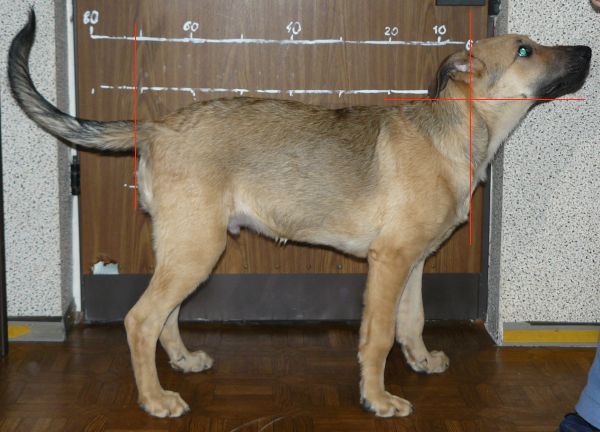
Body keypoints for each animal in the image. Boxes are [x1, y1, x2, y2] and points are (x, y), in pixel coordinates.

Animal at [8, 10, 591, 418]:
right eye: (525, 49)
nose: (587, 48)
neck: (456, 131)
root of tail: (156, 127)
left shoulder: (416, 262)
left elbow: (413, 321)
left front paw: (421, 362)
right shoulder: (389, 262)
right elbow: (378, 336)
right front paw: (377, 399)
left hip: (184, 248)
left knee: (165, 316)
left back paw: (183, 362)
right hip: (198, 249)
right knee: (140, 319)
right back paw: (155, 400)